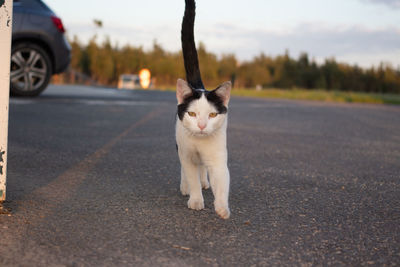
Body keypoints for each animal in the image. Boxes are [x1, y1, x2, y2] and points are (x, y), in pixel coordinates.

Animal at [175, 0, 231, 220]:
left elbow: (222, 182)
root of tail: (198, 86)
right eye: (192, 114)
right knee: (185, 168)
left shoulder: (218, 159)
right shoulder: (187, 154)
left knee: (202, 169)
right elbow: (191, 176)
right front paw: (196, 201)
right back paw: (185, 187)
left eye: (213, 114)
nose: (200, 125)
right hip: (180, 144)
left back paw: (205, 181)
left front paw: (222, 208)